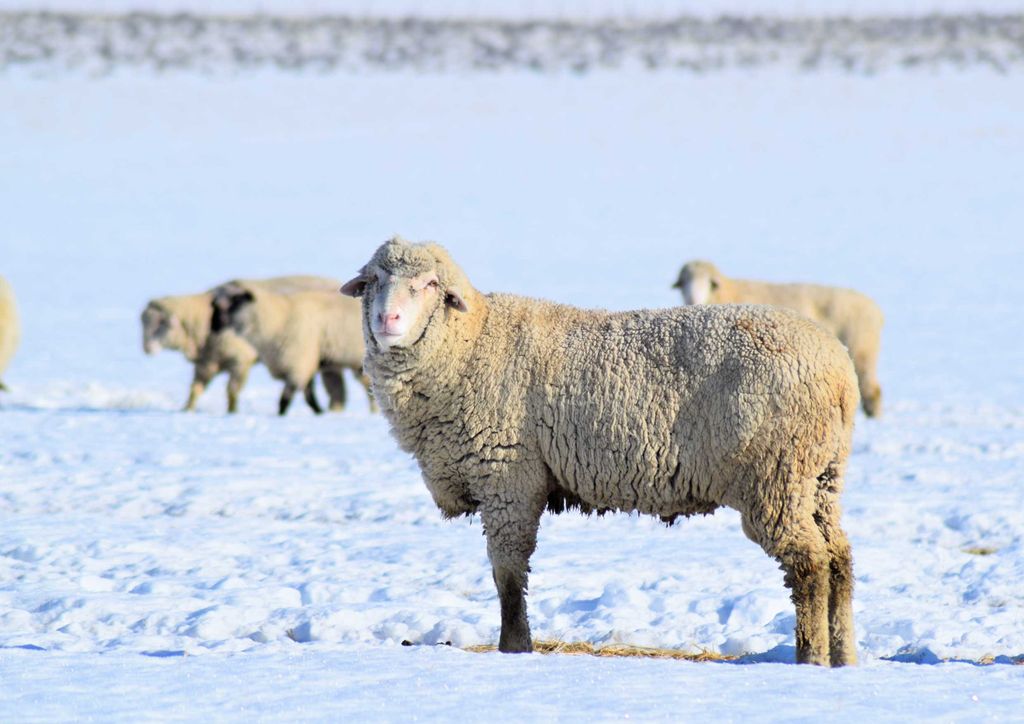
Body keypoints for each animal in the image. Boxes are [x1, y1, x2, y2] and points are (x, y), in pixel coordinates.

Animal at [142, 276, 342, 413]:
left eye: (161, 323)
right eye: (144, 323)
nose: (146, 349)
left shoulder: (240, 360)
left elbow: (232, 390)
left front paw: (232, 412)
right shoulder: (207, 362)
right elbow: (195, 389)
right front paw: (186, 409)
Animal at [212, 282, 375, 416]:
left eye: (234, 302)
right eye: (214, 306)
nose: (214, 327)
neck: (278, 321)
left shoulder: (298, 364)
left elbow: (286, 398)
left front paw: (281, 416)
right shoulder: (305, 364)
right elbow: (309, 396)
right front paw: (319, 412)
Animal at [341, 237, 860, 667]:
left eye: (430, 284)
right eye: (373, 281)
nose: (388, 321)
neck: (471, 344)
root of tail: (838, 370)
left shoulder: (508, 478)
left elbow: (507, 574)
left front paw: (514, 648)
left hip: (775, 476)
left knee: (809, 563)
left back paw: (810, 658)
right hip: (820, 475)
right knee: (839, 558)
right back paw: (843, 656)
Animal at [673, 260, 884, 417]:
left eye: (708, 282)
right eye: (684, 282)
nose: (692, 298)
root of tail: (875, 308)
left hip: (861, 349)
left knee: (873, 392)